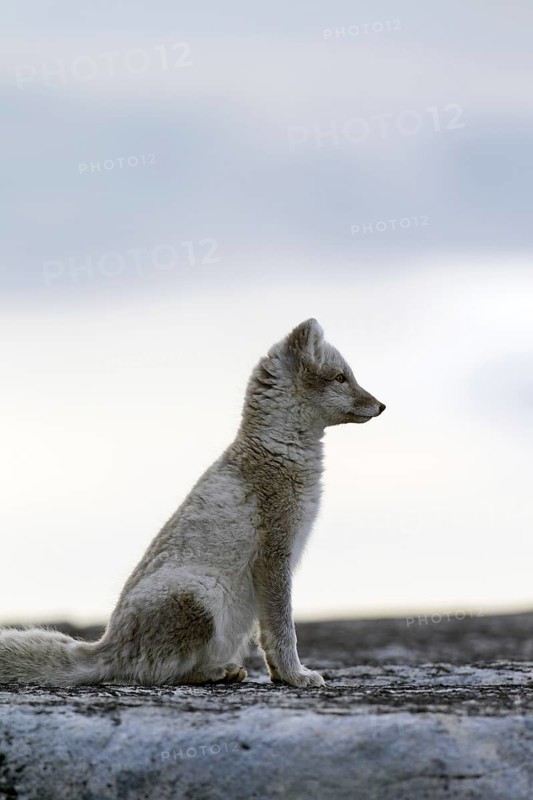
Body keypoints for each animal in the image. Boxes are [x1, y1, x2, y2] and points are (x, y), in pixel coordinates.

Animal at [0, 319, 385, 688]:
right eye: (341, 378)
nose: (383, 405)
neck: (277, 451)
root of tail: (106, 647)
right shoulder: (275, 554)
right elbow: (282, 631)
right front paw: (296, 676)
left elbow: (270, 634)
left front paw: (281, 676)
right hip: (200, 597)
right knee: (151, 675)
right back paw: (213, 672)